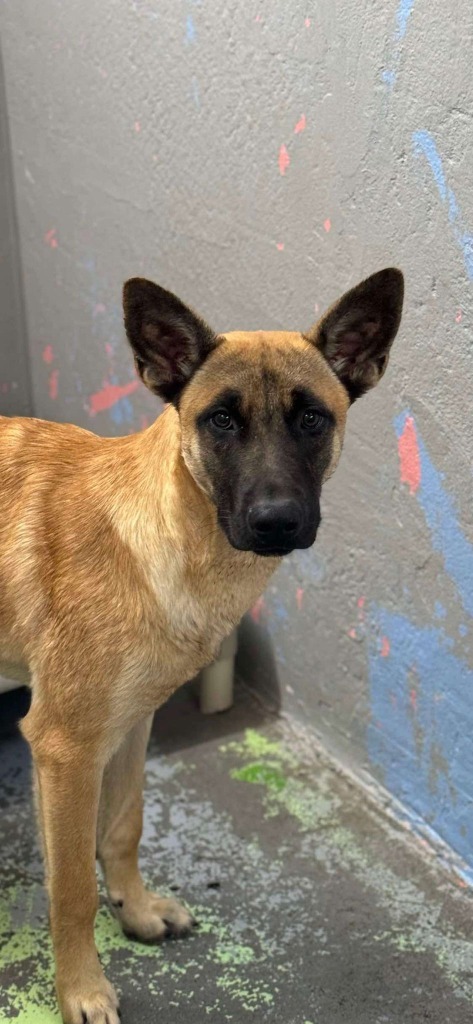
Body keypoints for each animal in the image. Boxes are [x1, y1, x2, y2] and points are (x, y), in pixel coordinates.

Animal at [0, 268, 403, 1019]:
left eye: (312, 418)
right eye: (220, 420)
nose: (276, 522)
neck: (161, 537)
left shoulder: (130, 723)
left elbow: (122, 827)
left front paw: (135, 911)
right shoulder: (65, 749)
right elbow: (71, 888)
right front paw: (82, 989)